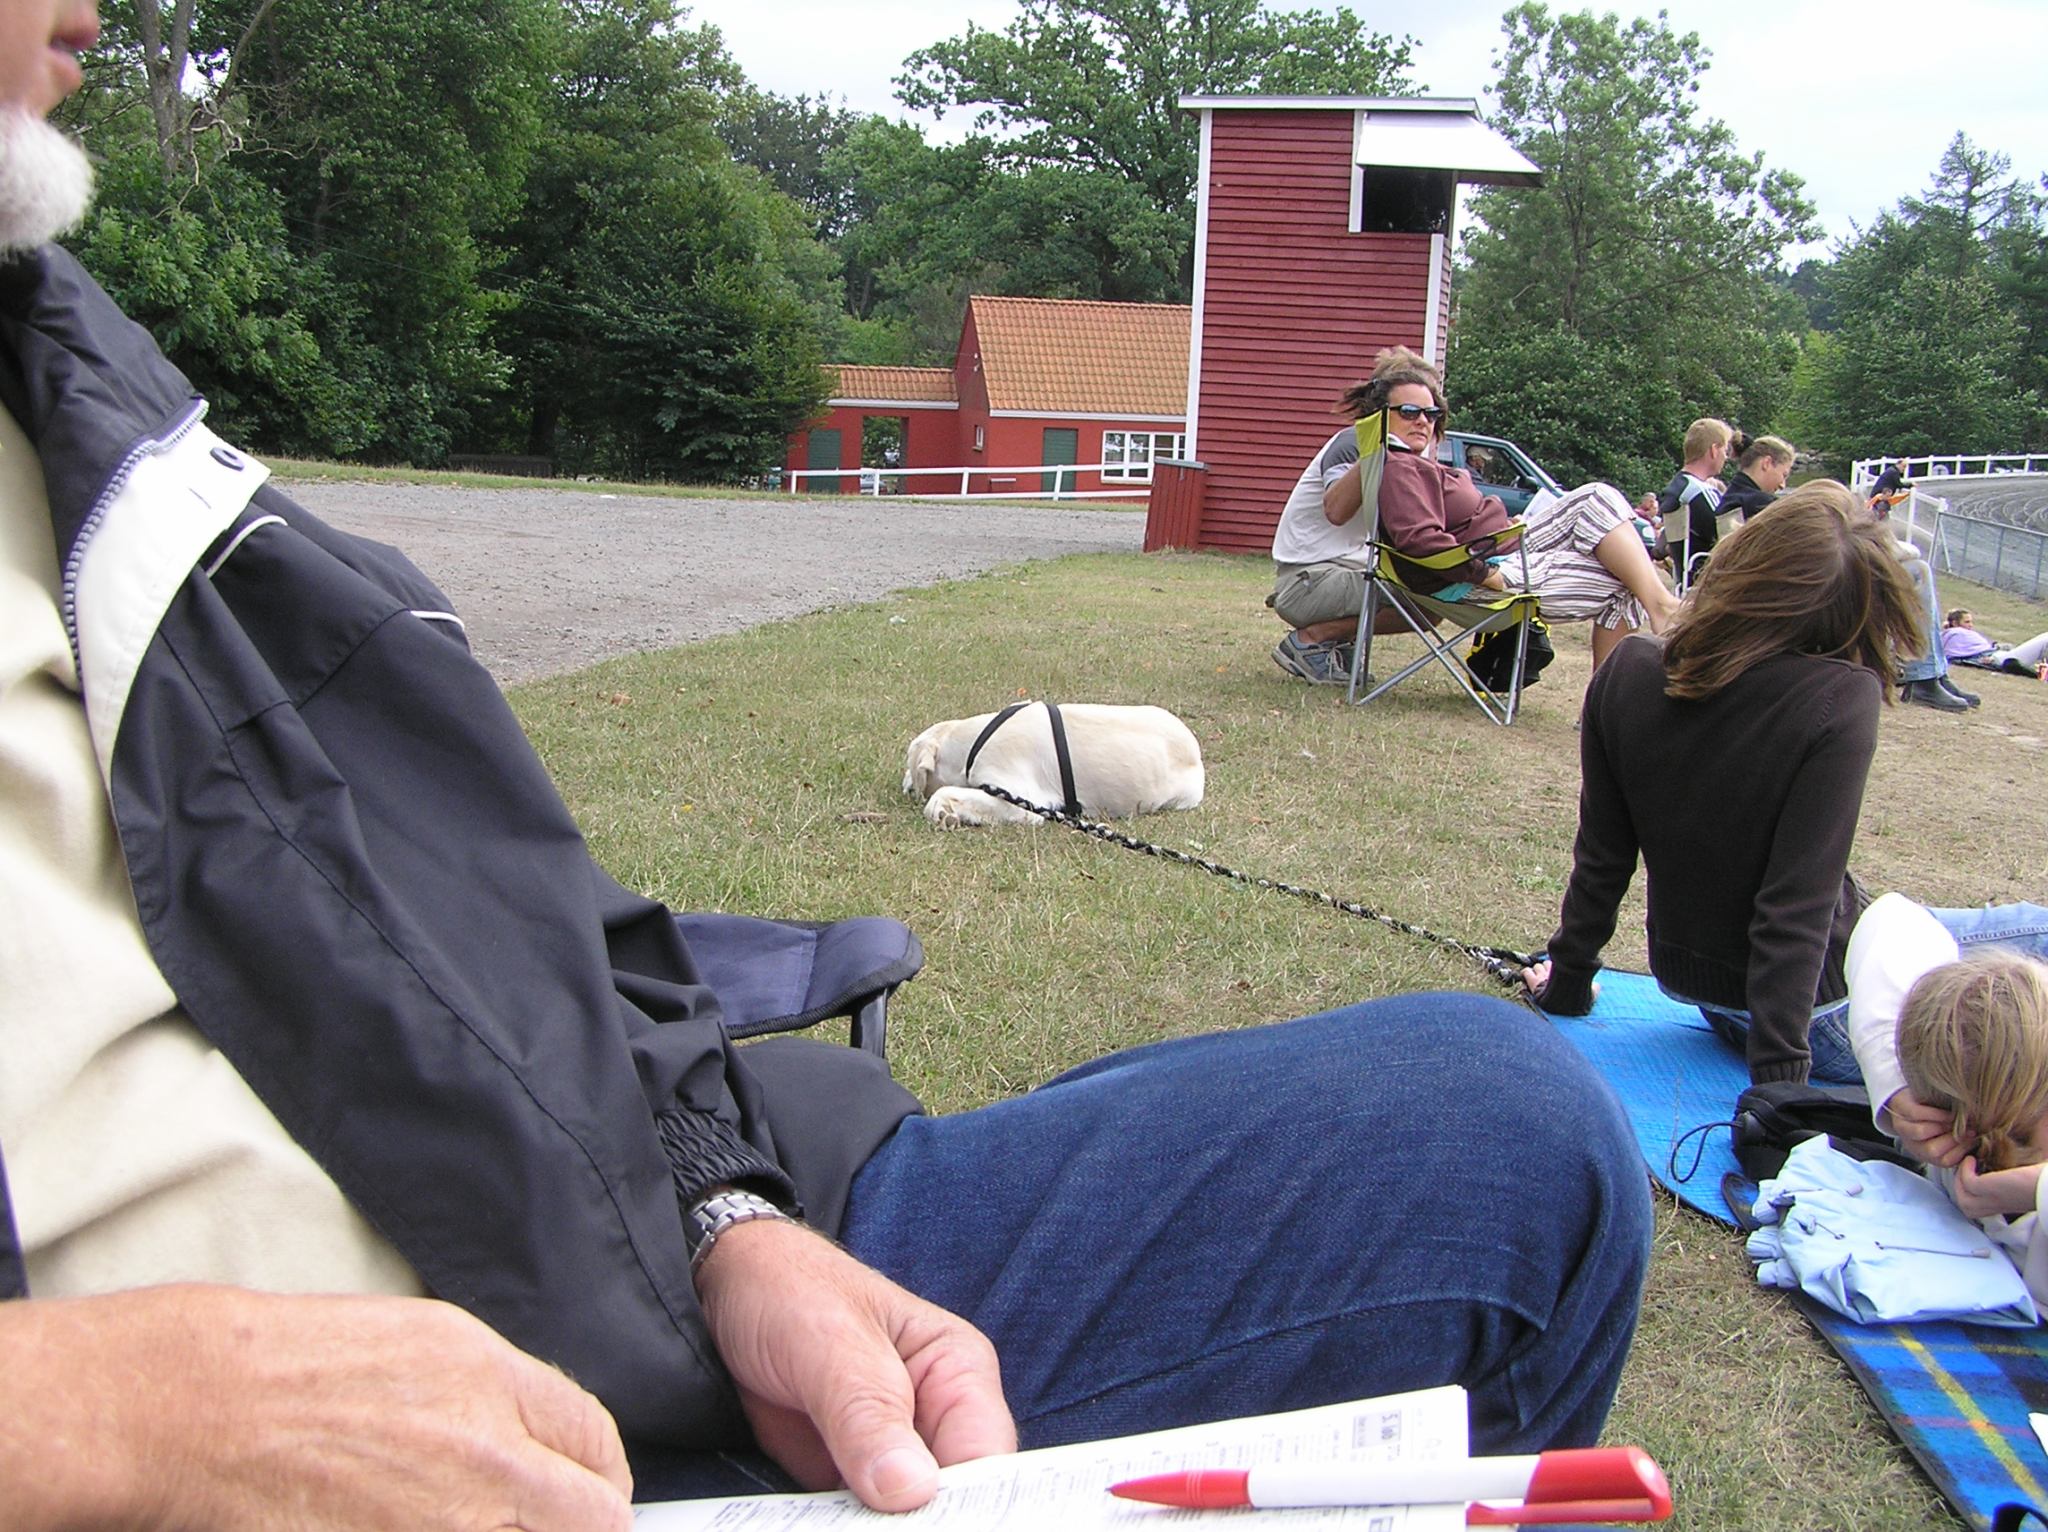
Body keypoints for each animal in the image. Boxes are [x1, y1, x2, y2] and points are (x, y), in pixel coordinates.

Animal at [902, 702, 1204, 829]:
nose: (904, 784)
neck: (973, 740)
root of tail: (1195, 748)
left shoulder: (1023, 801)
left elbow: (942, 795)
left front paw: (945, 813)